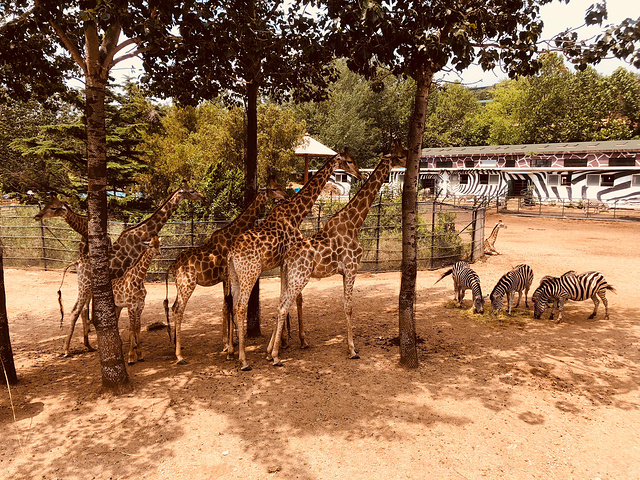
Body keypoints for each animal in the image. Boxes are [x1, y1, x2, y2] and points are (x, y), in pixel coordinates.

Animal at [110, 235, 161, 364]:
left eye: (160, 245)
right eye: (150, 245)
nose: (159, 254)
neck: (138, 280)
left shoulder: (140, 305)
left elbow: (137, 327)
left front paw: (140, 354)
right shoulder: (131, 305)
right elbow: (131, 328)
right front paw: (131, 357)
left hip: (117, 307)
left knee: (115, 322)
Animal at [165, 176, 288, 364]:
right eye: (274, 188)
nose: (286, 195)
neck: (233, 232)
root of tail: (172, 266)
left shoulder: (225, 278)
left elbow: (225, 306)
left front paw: (230, 343)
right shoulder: (226, 276)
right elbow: (228, 307)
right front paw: (229, 345)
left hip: (180, 285)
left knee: (173, 307)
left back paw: (175, 348)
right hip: (187, 284)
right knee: (178, 309)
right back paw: (179, 356)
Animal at [229, 148, 362, 370]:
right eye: (349, 161)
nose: (359, 174)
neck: (296, 213)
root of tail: (230, 252)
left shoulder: (286, 263)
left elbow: (286, 299)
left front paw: (282, 342)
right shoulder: (294, 262)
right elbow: (296, 299)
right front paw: (298, 340)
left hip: (234, 275)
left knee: (230, 304)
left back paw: (231, 351)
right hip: (250, 273)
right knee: (240, 306)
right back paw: (243, 359)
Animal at [268, 141, 408, 366]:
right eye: (401, 155)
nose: (359, 174)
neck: (354, 223)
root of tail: (287, 258)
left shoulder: (344, 272)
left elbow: (345, 306)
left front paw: (351, 347)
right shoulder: (352, 268)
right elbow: (349, 307)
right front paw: (352, 350)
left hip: (289, 277)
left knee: (281, 303)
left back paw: (271, 350)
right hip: (300, 277)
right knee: (283, 306)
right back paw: (275, 356)